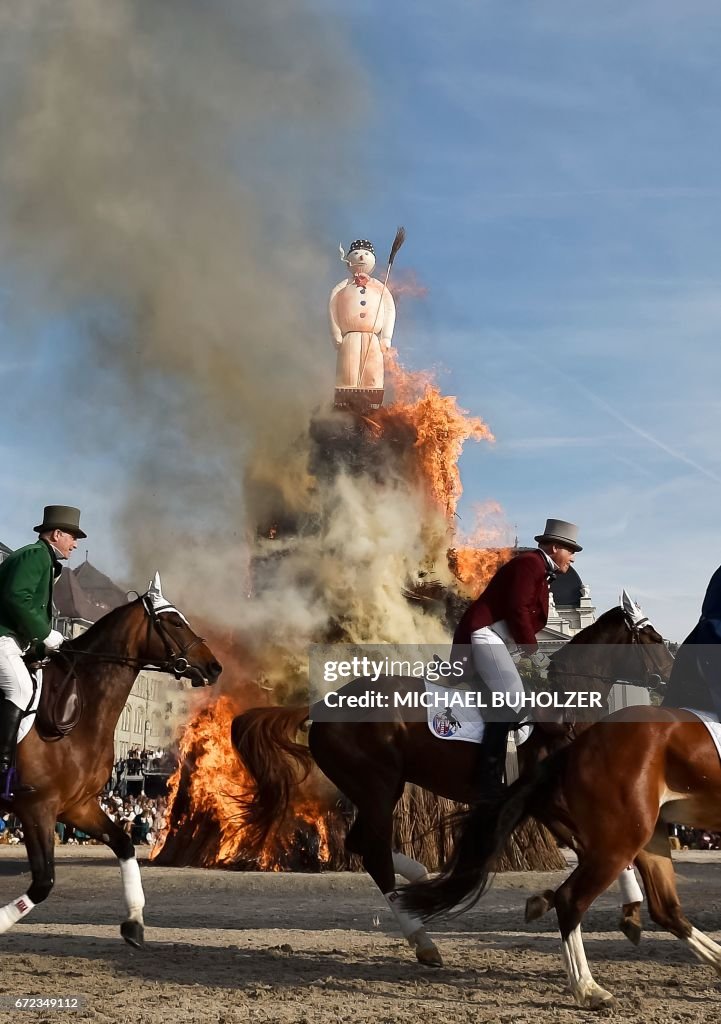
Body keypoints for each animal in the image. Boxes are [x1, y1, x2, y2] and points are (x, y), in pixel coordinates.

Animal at [0, 573, 219, 946]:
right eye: (175, 621)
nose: (214, 666)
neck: (82, 703)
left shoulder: (77, 806)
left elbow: (124, 844)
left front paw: (134, 922)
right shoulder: (36, 807)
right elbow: (43, 883)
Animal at [232, 598, 675, 958]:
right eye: (652, 637)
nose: (672, 674)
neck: (565, 707)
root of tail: (325, 703)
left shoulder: (545, 804)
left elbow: (608, 852)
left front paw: (629, 913)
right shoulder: (551, 801)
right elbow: (608, 850)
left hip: (377, 789)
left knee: (362, 843)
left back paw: (416, 877)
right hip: (378, 788)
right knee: (372, 852)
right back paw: (422, 939)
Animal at [399, 704, 721, 1007]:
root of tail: (576, 746)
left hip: (643, 835)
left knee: (665, 909)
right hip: (622, 838)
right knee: (572, 899)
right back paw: (589, 989)